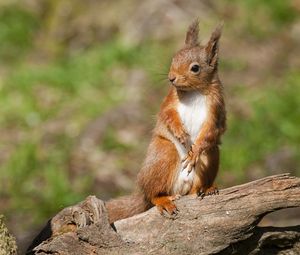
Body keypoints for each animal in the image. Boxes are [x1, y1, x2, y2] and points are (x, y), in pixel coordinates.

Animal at [105, 20, 225, 223]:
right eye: (173, 59)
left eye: (195, 68)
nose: (171, 78)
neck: (195, 92)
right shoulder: (170, 101)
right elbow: (168, 115)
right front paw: (180, 132)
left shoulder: (215, 109)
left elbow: (212, 130)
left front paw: (194, 152)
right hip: (164, 153)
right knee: (153, 195)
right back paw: (163, 200)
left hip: (211, 156)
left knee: (198, 180)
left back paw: (206, 188)